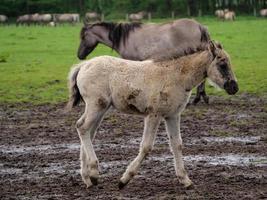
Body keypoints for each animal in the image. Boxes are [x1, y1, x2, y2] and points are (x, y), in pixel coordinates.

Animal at [66, 41, 239, 189]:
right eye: (223, 64)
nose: (234, 87)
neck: (177, 76)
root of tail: (83, 65)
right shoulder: (153, 115)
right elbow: (146, 146)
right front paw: (124, 179)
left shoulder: (172, 115)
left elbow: (177, 144)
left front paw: (185, 180)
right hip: (96, 105)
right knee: (82, 128)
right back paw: (94, 173)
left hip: (100, 109)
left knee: (87, 130)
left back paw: (87, 178)